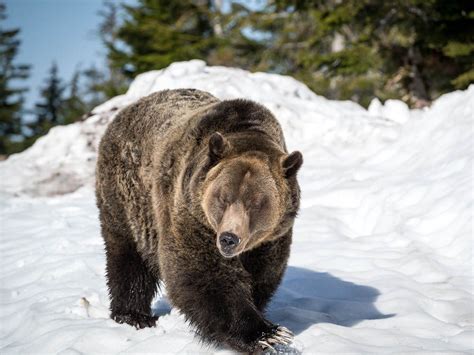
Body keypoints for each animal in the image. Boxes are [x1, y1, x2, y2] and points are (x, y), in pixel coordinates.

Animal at [95, 89, 304, 354]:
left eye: (256, 203)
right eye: (223, 197)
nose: (228, 239)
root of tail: (124, 111)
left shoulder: (271, 239)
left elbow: (263, 274)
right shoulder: (191, 213)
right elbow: (204, 274)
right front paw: (266, 334)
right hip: (128, 199)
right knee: (128, 258)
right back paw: (134, 315)